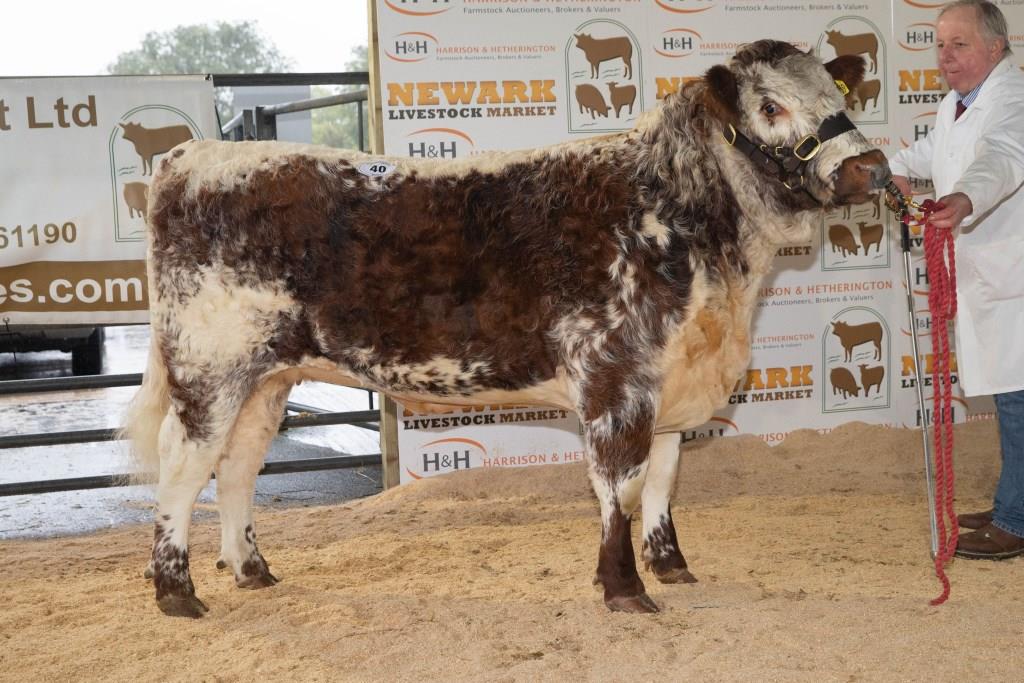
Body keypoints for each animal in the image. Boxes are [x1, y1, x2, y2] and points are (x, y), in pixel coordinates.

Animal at [123, 40, 889, 618]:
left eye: (838, 95)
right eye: (770, 106)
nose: (870, 167)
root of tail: (190, 158)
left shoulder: (673, 383)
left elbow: (665, 482)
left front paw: (670, 565)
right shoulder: (615, 382)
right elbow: (621, 487)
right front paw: (623, 587)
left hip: (268, 377)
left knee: (238, 464)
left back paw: (251, 568)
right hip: (209, 368)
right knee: (183, 464)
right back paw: (175, 590)